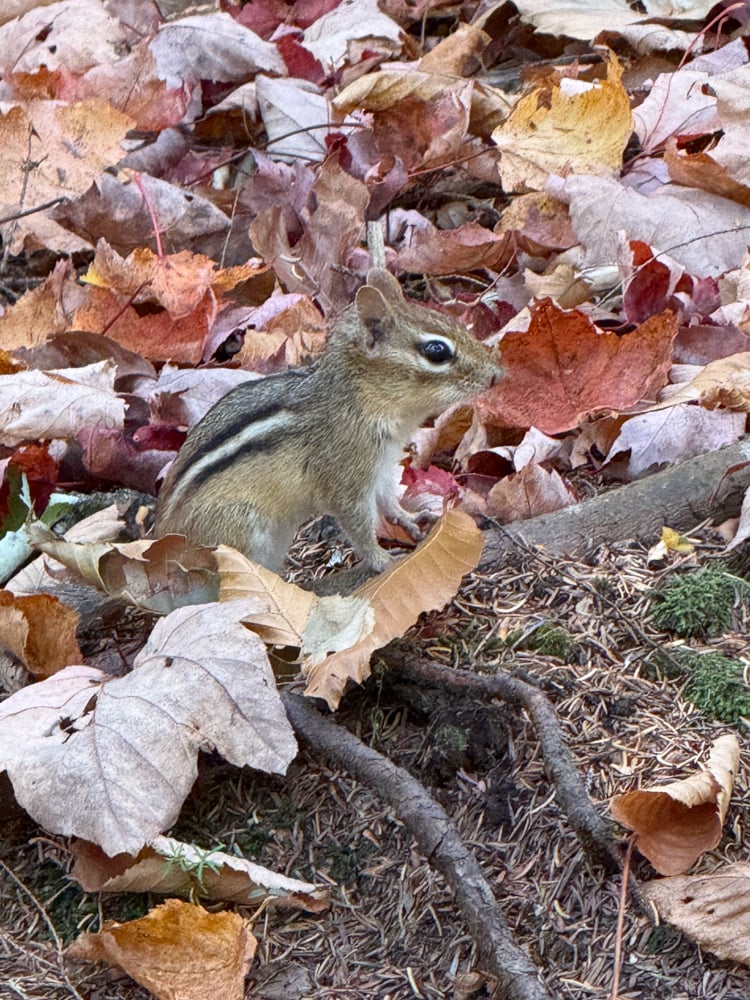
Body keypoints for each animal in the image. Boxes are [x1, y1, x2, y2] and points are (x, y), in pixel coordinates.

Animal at [153, 268, 503, 572]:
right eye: (437, 351)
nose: (498, 375)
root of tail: (159, 539)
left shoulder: (381, 465)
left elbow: (387, 499)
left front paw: (410, 517)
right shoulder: (345, 479)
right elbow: (358, 524)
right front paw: (382, 560)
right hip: (238, 532)